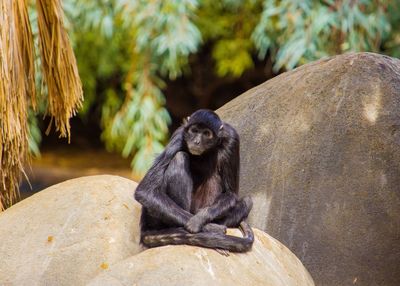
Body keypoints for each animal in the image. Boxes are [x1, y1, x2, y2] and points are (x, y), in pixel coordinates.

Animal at [134, 109, 253, 252]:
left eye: (206, 134)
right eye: (194, 131)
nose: (196, 141)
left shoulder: (232, 138)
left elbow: (231, 194)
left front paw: (198, 221)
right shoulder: (179, 135)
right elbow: (145, 191)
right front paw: (209, 228)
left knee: (246, 201)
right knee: (179, 157)